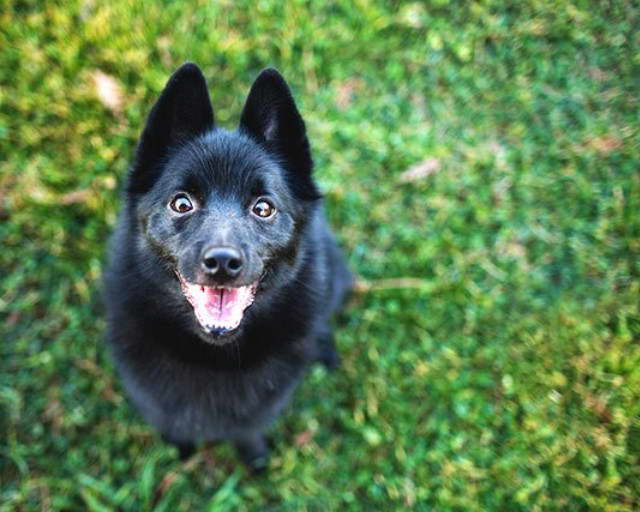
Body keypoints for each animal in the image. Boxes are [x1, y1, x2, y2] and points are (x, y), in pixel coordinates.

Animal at [105, 62, 356, 470]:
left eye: (263, 208)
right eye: (182, 203)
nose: (222, 262)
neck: (214, 356)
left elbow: (247, 429)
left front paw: (253, 457)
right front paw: (181, 446)